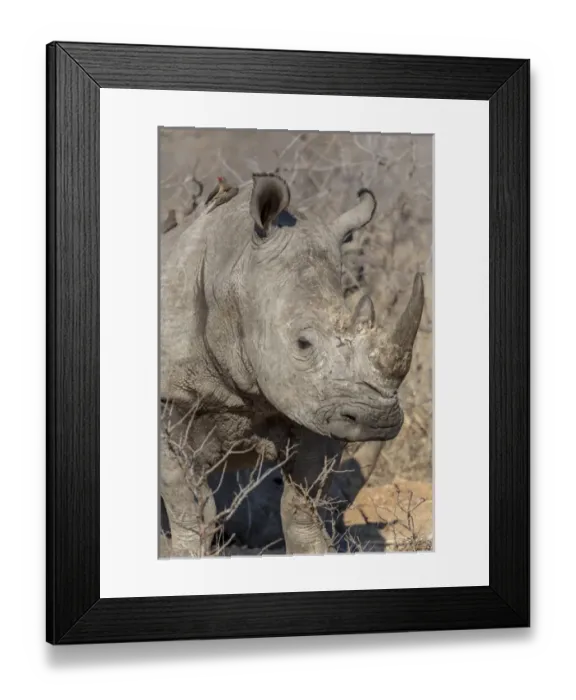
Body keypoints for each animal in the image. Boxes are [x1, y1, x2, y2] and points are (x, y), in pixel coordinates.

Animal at [160, 173, 424, 556]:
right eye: (303, 343)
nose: (378, 420)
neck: (233, 271)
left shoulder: (316, 402)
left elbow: (303, 501)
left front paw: (315, 553)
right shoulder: (169, 395)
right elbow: (184, 497)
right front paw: (183, 555)